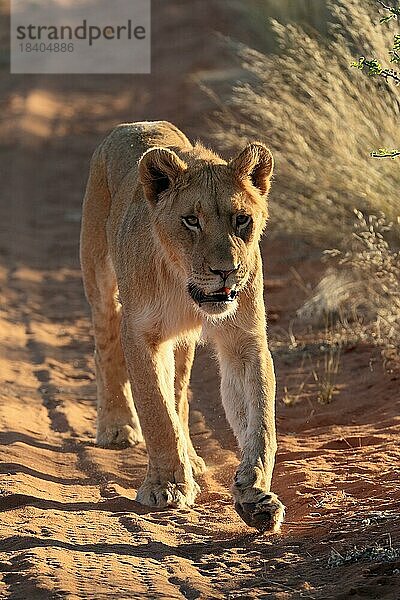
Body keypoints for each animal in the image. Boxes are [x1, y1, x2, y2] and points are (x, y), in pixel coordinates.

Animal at [79, 119, 284, 532]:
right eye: (191, 220)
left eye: (242, 219)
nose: (226, 272)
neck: (181, 281)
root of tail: (132, 124)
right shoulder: (141, 333)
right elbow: (157, 411)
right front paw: (167, 487)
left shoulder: (243, 339)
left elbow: (260, 423)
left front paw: (255, 494)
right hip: (100, 280)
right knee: (104, 349)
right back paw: (116, 427)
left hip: (182, 340)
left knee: (179, 395)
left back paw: (191, 457)